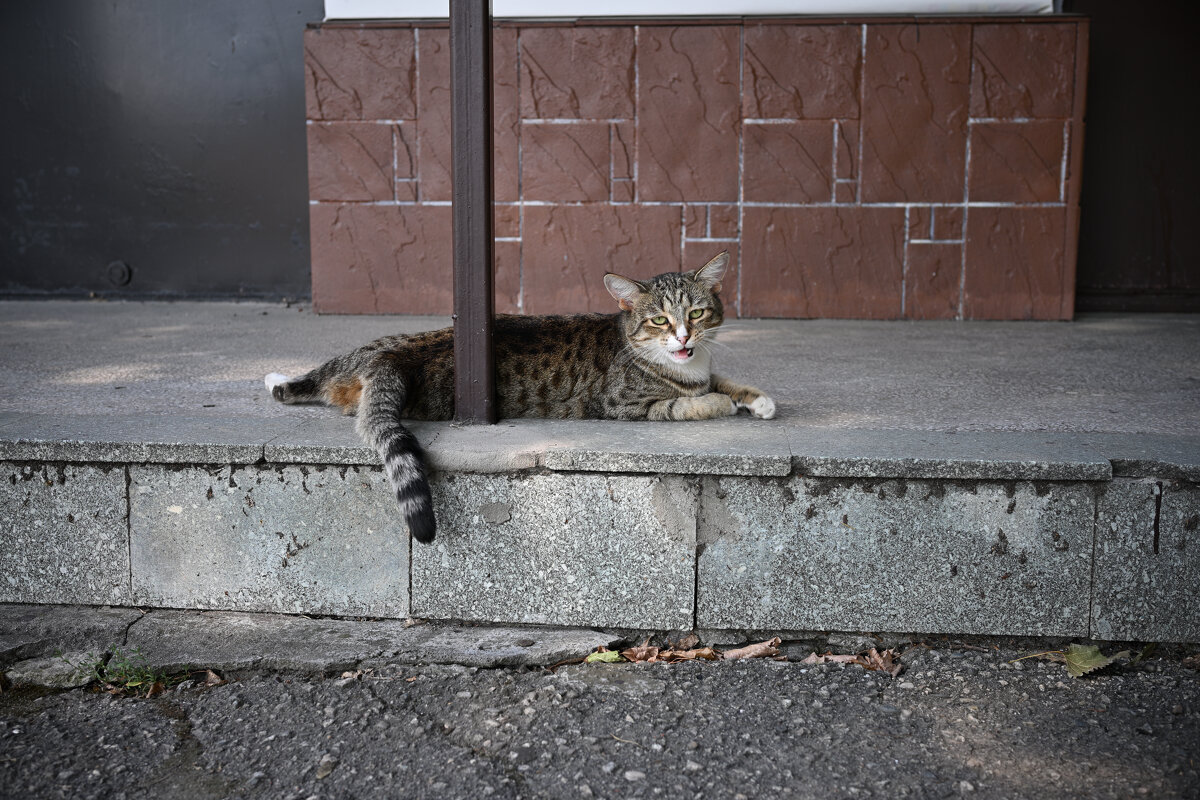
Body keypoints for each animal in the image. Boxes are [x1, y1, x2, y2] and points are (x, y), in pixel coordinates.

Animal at [266, 255, 772, 544]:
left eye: (697, 313)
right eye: (659, 321)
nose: (684, 337)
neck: (685, 364)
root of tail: (392, 358)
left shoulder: (704, 368)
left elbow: (723, 379)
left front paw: (759, 399)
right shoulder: (625, 405)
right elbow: (691, 402)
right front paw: (723, 403)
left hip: (367, 350)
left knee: (316, 378)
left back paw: (276, 379)